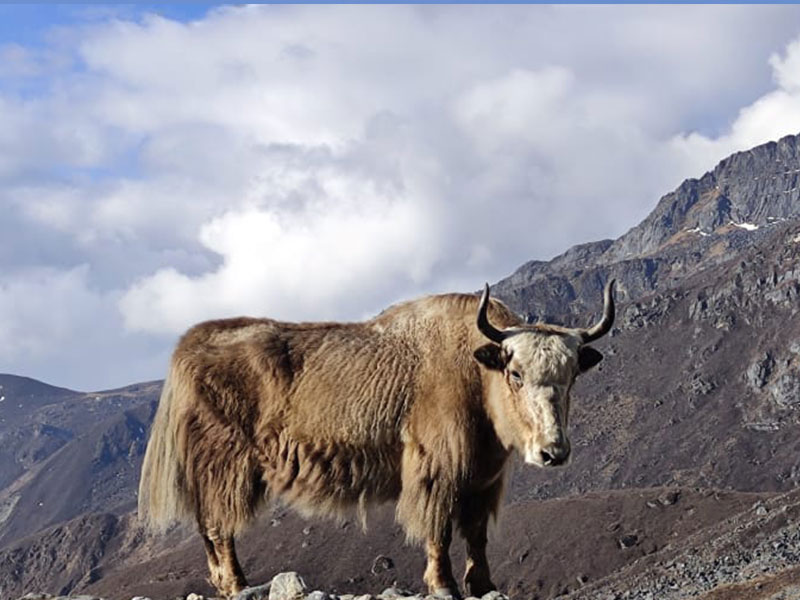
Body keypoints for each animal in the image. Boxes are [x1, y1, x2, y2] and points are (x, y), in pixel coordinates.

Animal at [138, 280, 616, 598]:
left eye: (571, 376)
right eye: (515, 374)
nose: (553, 452)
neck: (476, 371)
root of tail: (187, 346)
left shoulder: (482, 479)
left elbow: (476, 533)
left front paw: (482, 585)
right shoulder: (436, 470)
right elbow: (439, 529)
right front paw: (443, 586)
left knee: (208, 530)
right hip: (225, 466)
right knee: (220, 528)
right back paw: (239, 584)